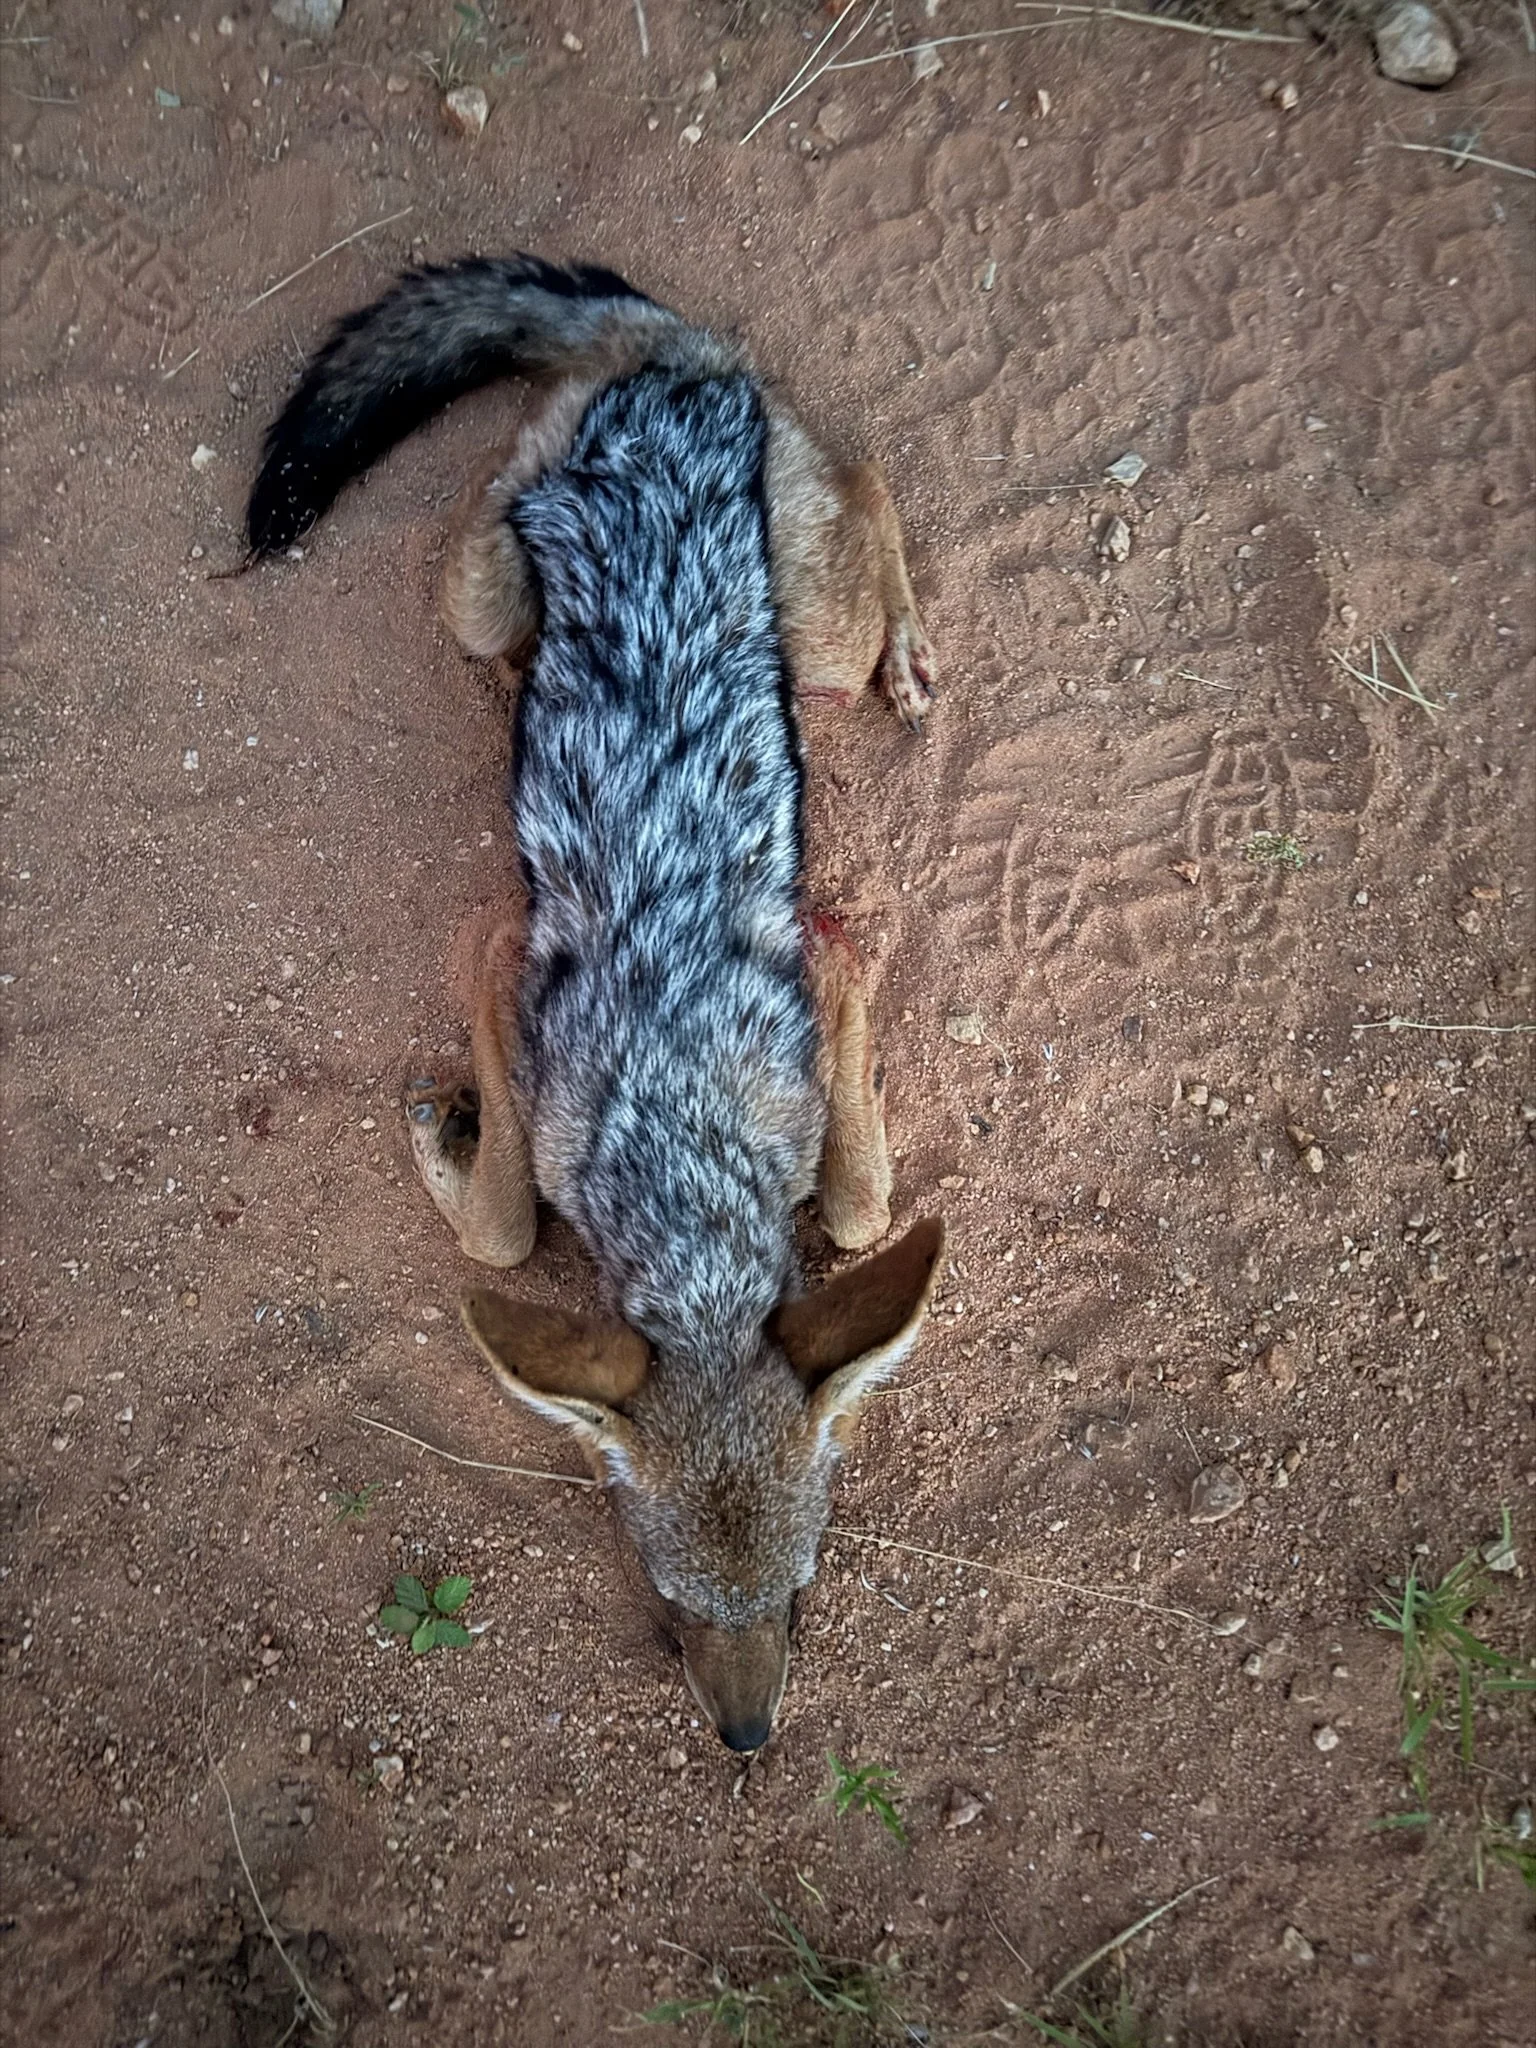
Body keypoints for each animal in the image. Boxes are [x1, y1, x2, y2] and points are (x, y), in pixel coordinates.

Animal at [246, 255, 945, 1751]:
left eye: (801, 1593)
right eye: (667, 1602)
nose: (747, 1743)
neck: (681, 1141)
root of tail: (674, 369)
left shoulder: (823, 1035)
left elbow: (862, 1202)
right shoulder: (498, 951)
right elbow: (506, 1229)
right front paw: (449, 1135)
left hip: (813, 643)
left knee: (868, 483)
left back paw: (915, 657)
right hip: (481, 594)